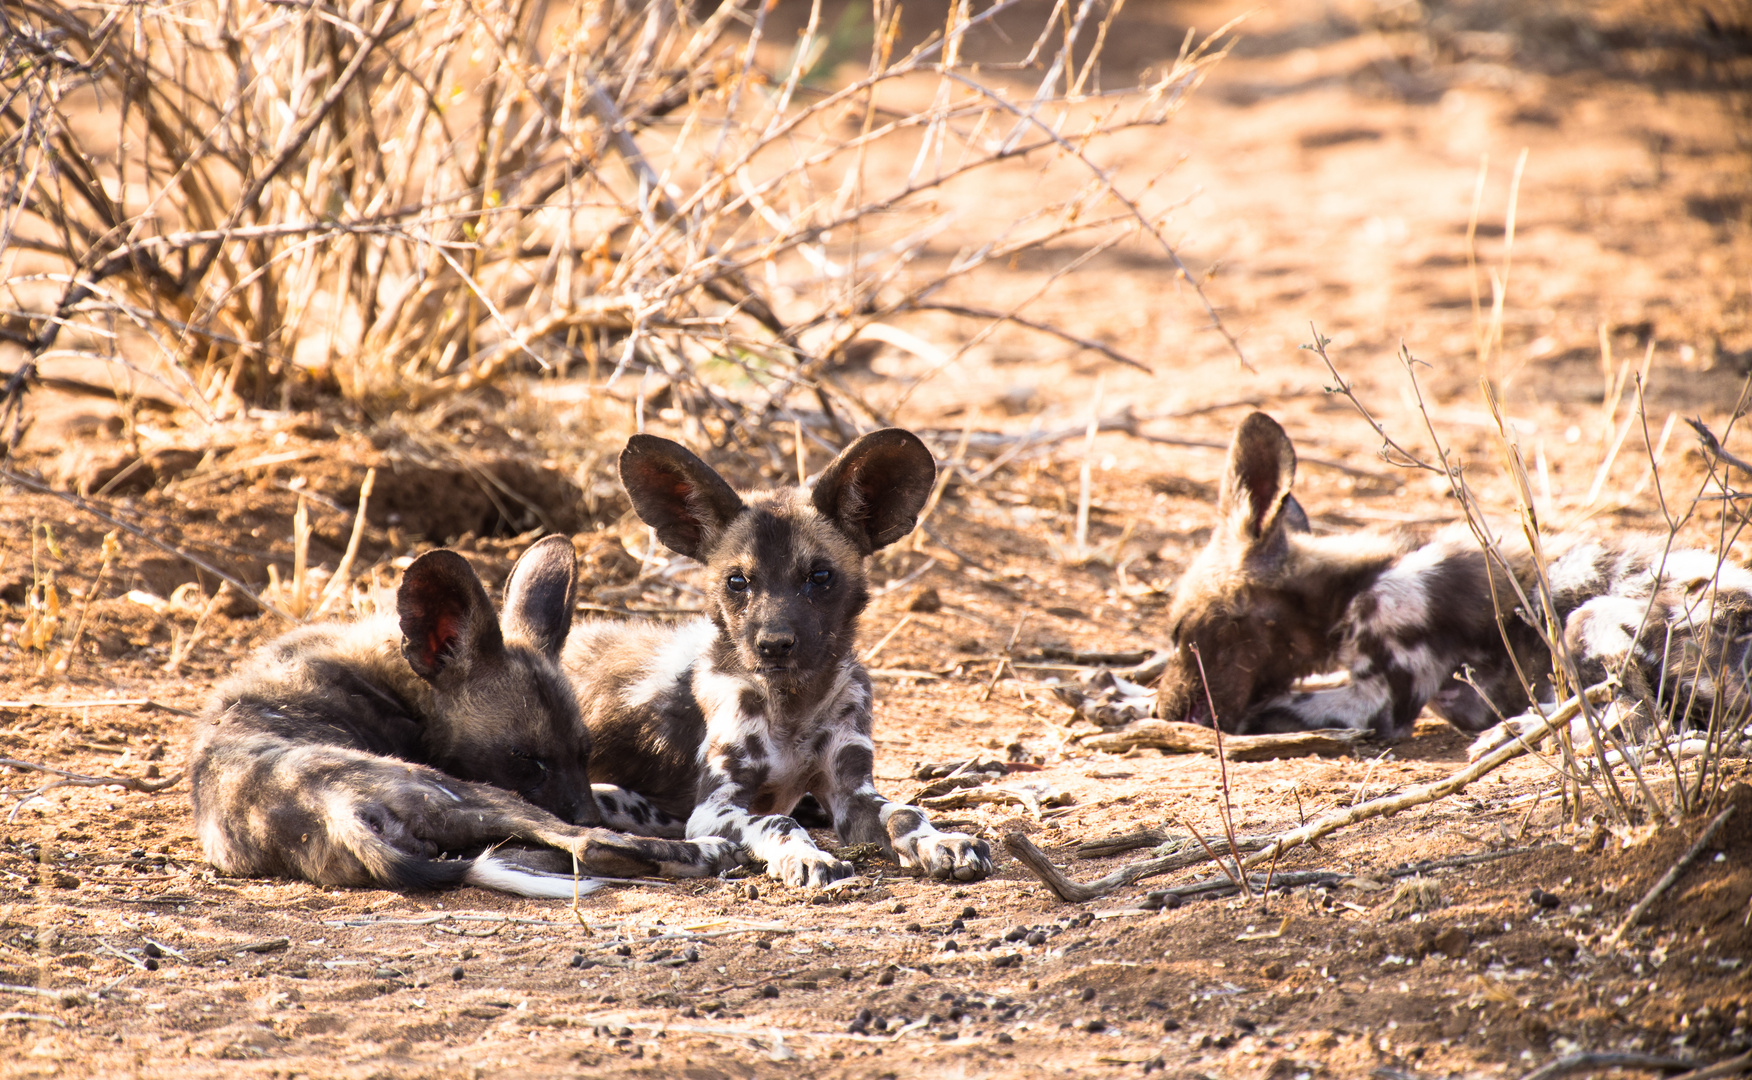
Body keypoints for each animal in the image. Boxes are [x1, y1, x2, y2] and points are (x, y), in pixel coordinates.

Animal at [190, 532, 739, 894]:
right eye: (526, 759)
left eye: (584, 752)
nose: (585, 808)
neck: (397, 684)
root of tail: (336, 812)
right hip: (469, 792)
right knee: (589, 845)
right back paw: (710, 851)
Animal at [564, 424, 995, 887]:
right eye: (737, 581)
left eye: (820, 576)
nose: (773, 643)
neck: (793, 706)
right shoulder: (714, 809)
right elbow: (778, 822)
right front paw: (808, 857)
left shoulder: (851, 793)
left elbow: (905, 814)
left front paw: (941, 841)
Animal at [1149, 408, 1752, 746]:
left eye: (1180, 632)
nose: (1164, 709)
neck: (1350, 589)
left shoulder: (1377, 700)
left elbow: (1259, 714)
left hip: (1587, 619)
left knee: (1637, 720)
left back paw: (1519, 733)